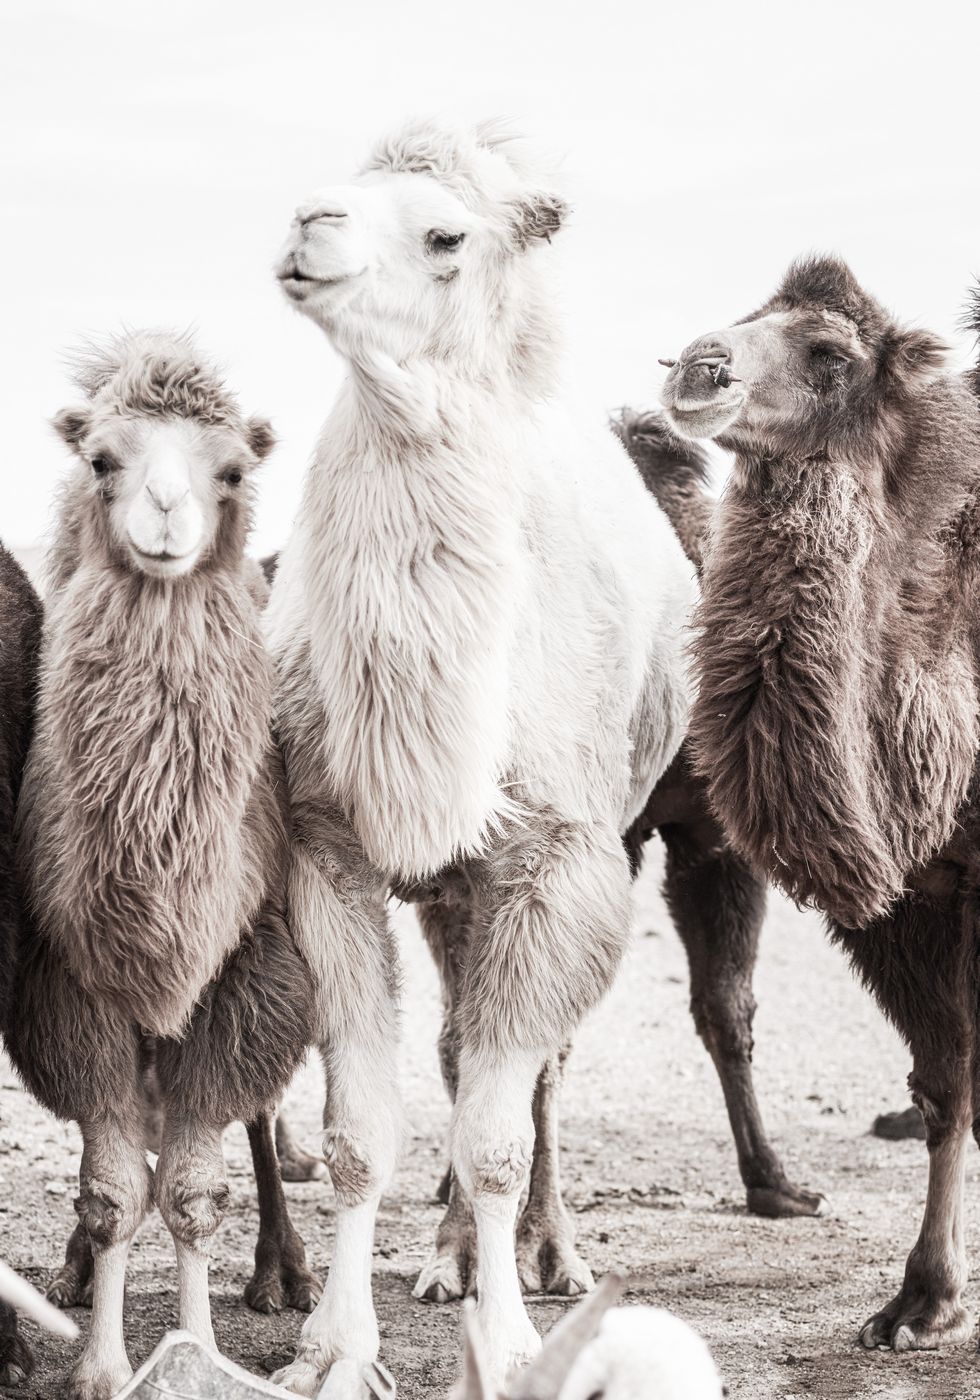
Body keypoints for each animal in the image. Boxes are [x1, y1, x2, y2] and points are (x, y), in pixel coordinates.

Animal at [3, 333, 319, 1400]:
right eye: (105, 459)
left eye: (232, 470)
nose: (168, 511)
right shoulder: (69, 984)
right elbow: (111, 1196)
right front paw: (101, 1366)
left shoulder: (242, 972)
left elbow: (190, 1195)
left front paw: (199, 1351)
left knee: (260, 1120)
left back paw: (285, 1273)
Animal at [262, 119, 696, 1393]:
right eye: (342, 190)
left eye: (445, 235)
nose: (307, 223)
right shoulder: (327, 850)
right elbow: (360, 1132)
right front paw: (334, 1348)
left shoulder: (557, 860)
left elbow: (503, 1130)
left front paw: (507, 1347)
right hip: (453, 886)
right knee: (459, 1048)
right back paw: (447, 1257)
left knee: (532, 1069)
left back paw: (540, 1257)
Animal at [660, 255, 980, 1352]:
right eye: (750, 313)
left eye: (830, 353)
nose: (698, 364)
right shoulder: (911, 900)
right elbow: (944, 1085)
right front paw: (920, 1299)